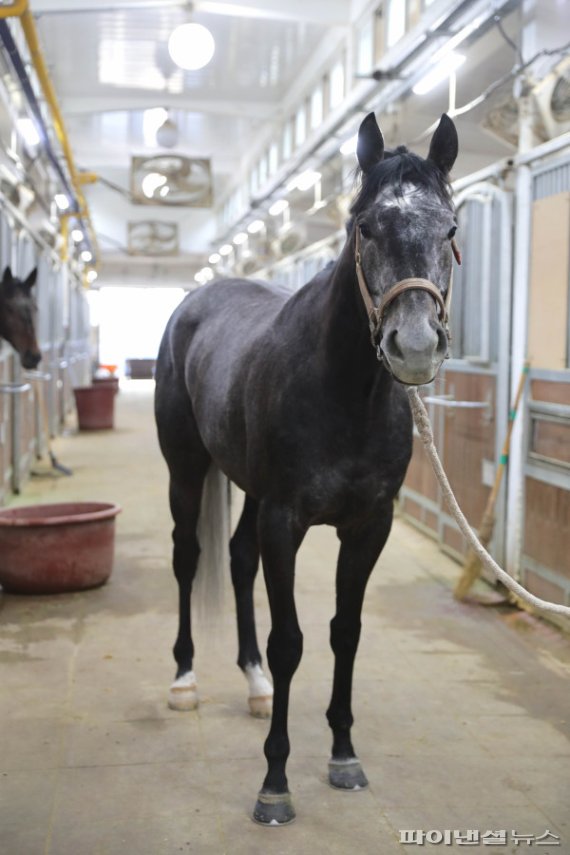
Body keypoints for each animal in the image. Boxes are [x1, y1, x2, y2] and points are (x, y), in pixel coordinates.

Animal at [154, 110, 458, 824]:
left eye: (451, 229)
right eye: (365, 226)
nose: (414, 347)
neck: (345, 392)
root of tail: (197, 300)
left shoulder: (368, 526)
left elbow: (344, 632)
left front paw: (344, 755)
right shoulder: (285, 521)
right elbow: (290, 641)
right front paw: (275, 783)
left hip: (248, 491)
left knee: (237, 560)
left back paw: (254, 684)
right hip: (187, 470)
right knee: (188, 558)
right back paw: (184, 679)